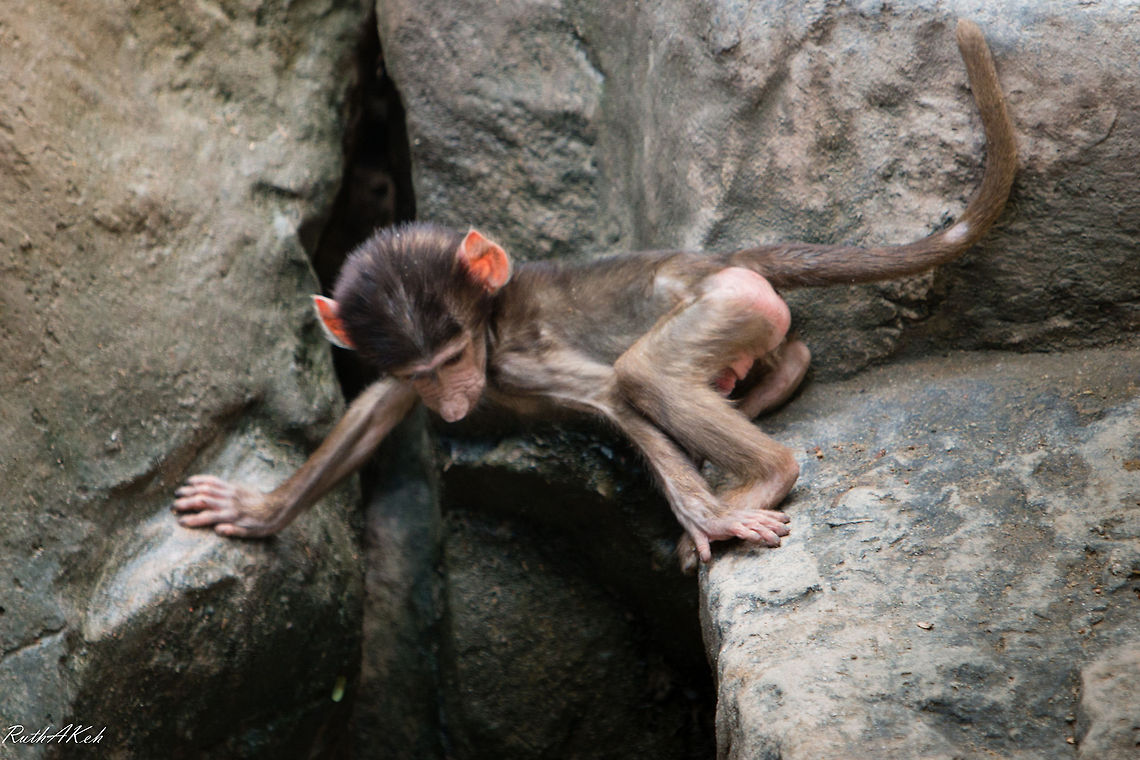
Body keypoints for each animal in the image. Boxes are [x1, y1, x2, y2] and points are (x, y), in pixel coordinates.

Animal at [174, 20, 1016, 571]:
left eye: (454, 357)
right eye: (426, 372)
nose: (453, 404)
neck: (491, 328)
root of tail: (714, 256)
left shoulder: (521, 360)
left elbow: (615, 394)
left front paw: (709, 517)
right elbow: (375, 411)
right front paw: (260, 510)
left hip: (725, 300)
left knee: (647, 373)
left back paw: (765, 474)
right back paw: (778, 381)